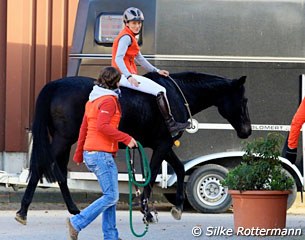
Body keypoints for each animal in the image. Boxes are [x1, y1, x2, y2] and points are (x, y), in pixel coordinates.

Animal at [14, 71, 251, 225]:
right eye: (244, 100)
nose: (247, 131)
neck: (174, 95)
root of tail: (55, 85)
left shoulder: (163, 145)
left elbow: (179, 169)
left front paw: (177, 207)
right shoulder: (162, 145)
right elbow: (152, 174)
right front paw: (147, 212)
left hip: (65, 140)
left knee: (60, 173)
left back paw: (73, 210)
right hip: (63, 139)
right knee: (41, 167)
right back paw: (23, 211)